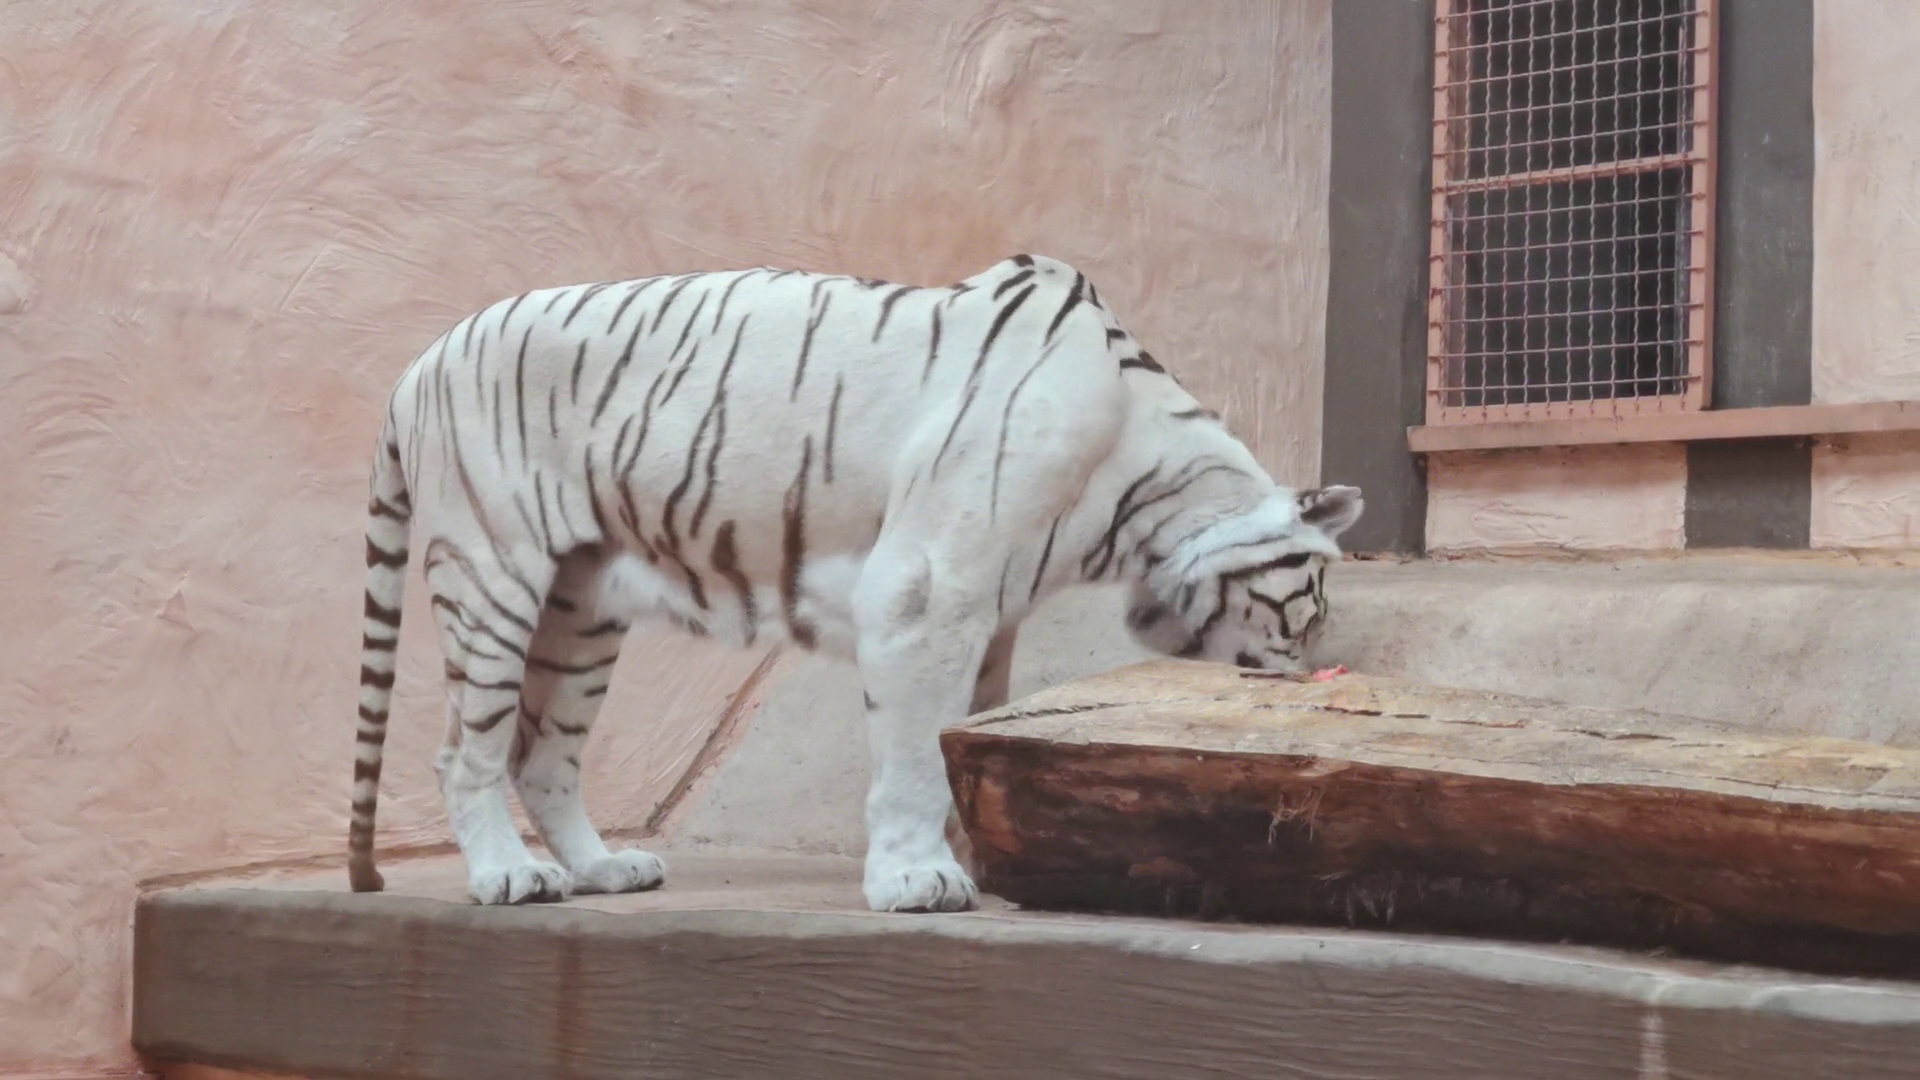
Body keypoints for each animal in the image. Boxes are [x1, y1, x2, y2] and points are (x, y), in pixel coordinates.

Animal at [349, 253, 1364, 914]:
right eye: (1301, 609)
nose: (1294, 677)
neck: (1140, 486)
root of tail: (417, 364)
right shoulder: (928, 594)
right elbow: (914, 752)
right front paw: (918, 879)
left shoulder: (989, 614)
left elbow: (965, 737)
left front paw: (979, 852)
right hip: (493, 573)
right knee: (465, 750)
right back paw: (509, 877)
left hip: (582, 606)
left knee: (542, 753)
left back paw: (601, 870)